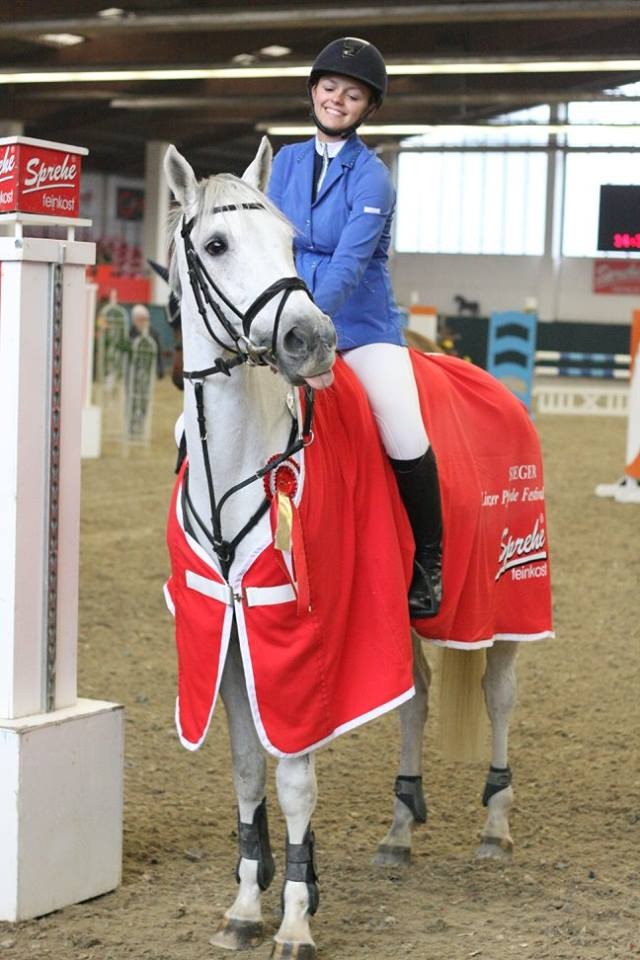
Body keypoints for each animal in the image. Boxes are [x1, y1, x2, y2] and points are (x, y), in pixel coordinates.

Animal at [163, 139, 553, 959]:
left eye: (289, 243)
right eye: (215, 245)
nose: (310, 341)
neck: (239, 464)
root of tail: (495, 384)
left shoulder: (297, 643)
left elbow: (293, 780)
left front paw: (295, 918)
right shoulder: (230, 639)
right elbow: (246, 771)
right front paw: (244, 903)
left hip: (508, 602)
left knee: (499, 694)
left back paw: (495, 826)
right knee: (416, 698)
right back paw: (401, 828)